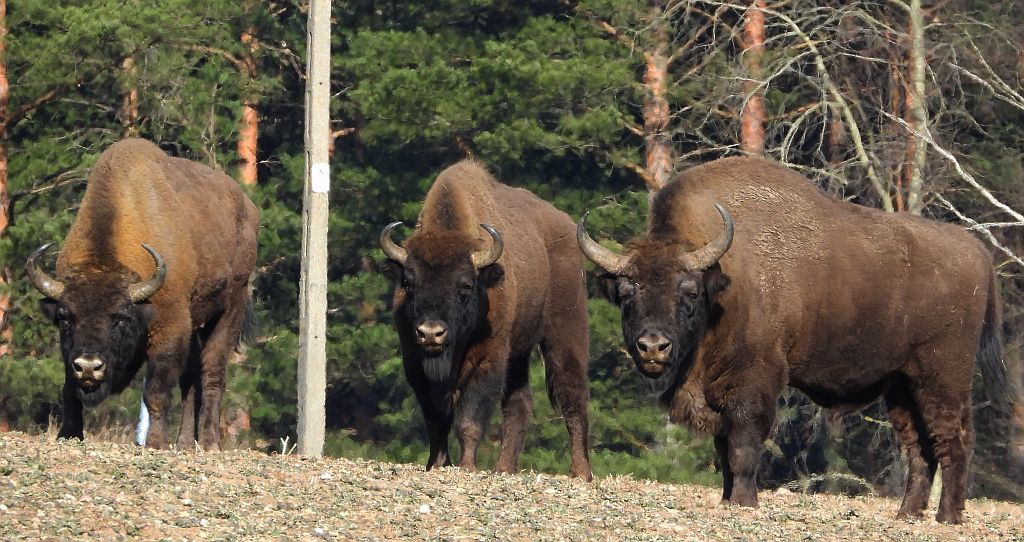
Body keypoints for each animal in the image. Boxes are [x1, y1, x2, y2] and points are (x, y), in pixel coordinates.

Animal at [27, 138, 259, 450]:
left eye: (120, 319)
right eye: (65, 318)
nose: (89, 367)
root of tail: (247, 208)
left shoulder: (170, 328)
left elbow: (157, 391)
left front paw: (156, 442)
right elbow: (68, 388)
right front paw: (69, 433)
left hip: (231, 304)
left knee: (212, 373)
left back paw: (210, 442)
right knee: (190, 381)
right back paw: (185, 442)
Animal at [381, 160, 592, 479]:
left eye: (465, 286)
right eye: (408, 282)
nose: (431, 333)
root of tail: (567, 228)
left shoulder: (489, 357)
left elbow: (470, 418)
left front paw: (467, 465)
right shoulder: (414, 361)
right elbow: (435, 418)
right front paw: (438, 463)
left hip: (566, 331)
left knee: (572, 394)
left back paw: (580, 472)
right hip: (518, 353)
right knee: (519, 403)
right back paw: (504, 468)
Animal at [578, 156, 1007, 523]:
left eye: (689, 292)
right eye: (626, 293)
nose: (653, 346)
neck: (725, 281)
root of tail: (976, 251)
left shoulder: (754, 383)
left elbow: (743, 447)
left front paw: (744, 502)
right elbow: (724, 449)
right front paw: (727, 499)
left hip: (942, 377)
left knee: (953, 438)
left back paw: (947, 517)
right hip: (902, 385)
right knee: (919, 447)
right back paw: (907, 514)